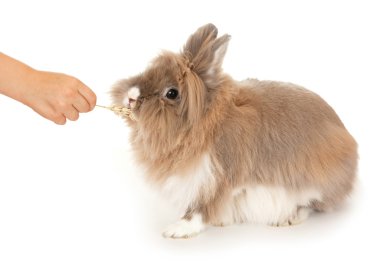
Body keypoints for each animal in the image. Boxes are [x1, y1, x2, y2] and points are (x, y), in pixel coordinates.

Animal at [110, 23, 356, 238]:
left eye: (171, 93)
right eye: (149, 71)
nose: (130, 96)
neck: (206, 121)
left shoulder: (214, 179)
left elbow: (198, 210)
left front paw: (177, 230)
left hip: (313, 181)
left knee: (311, 205)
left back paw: (287, 218)